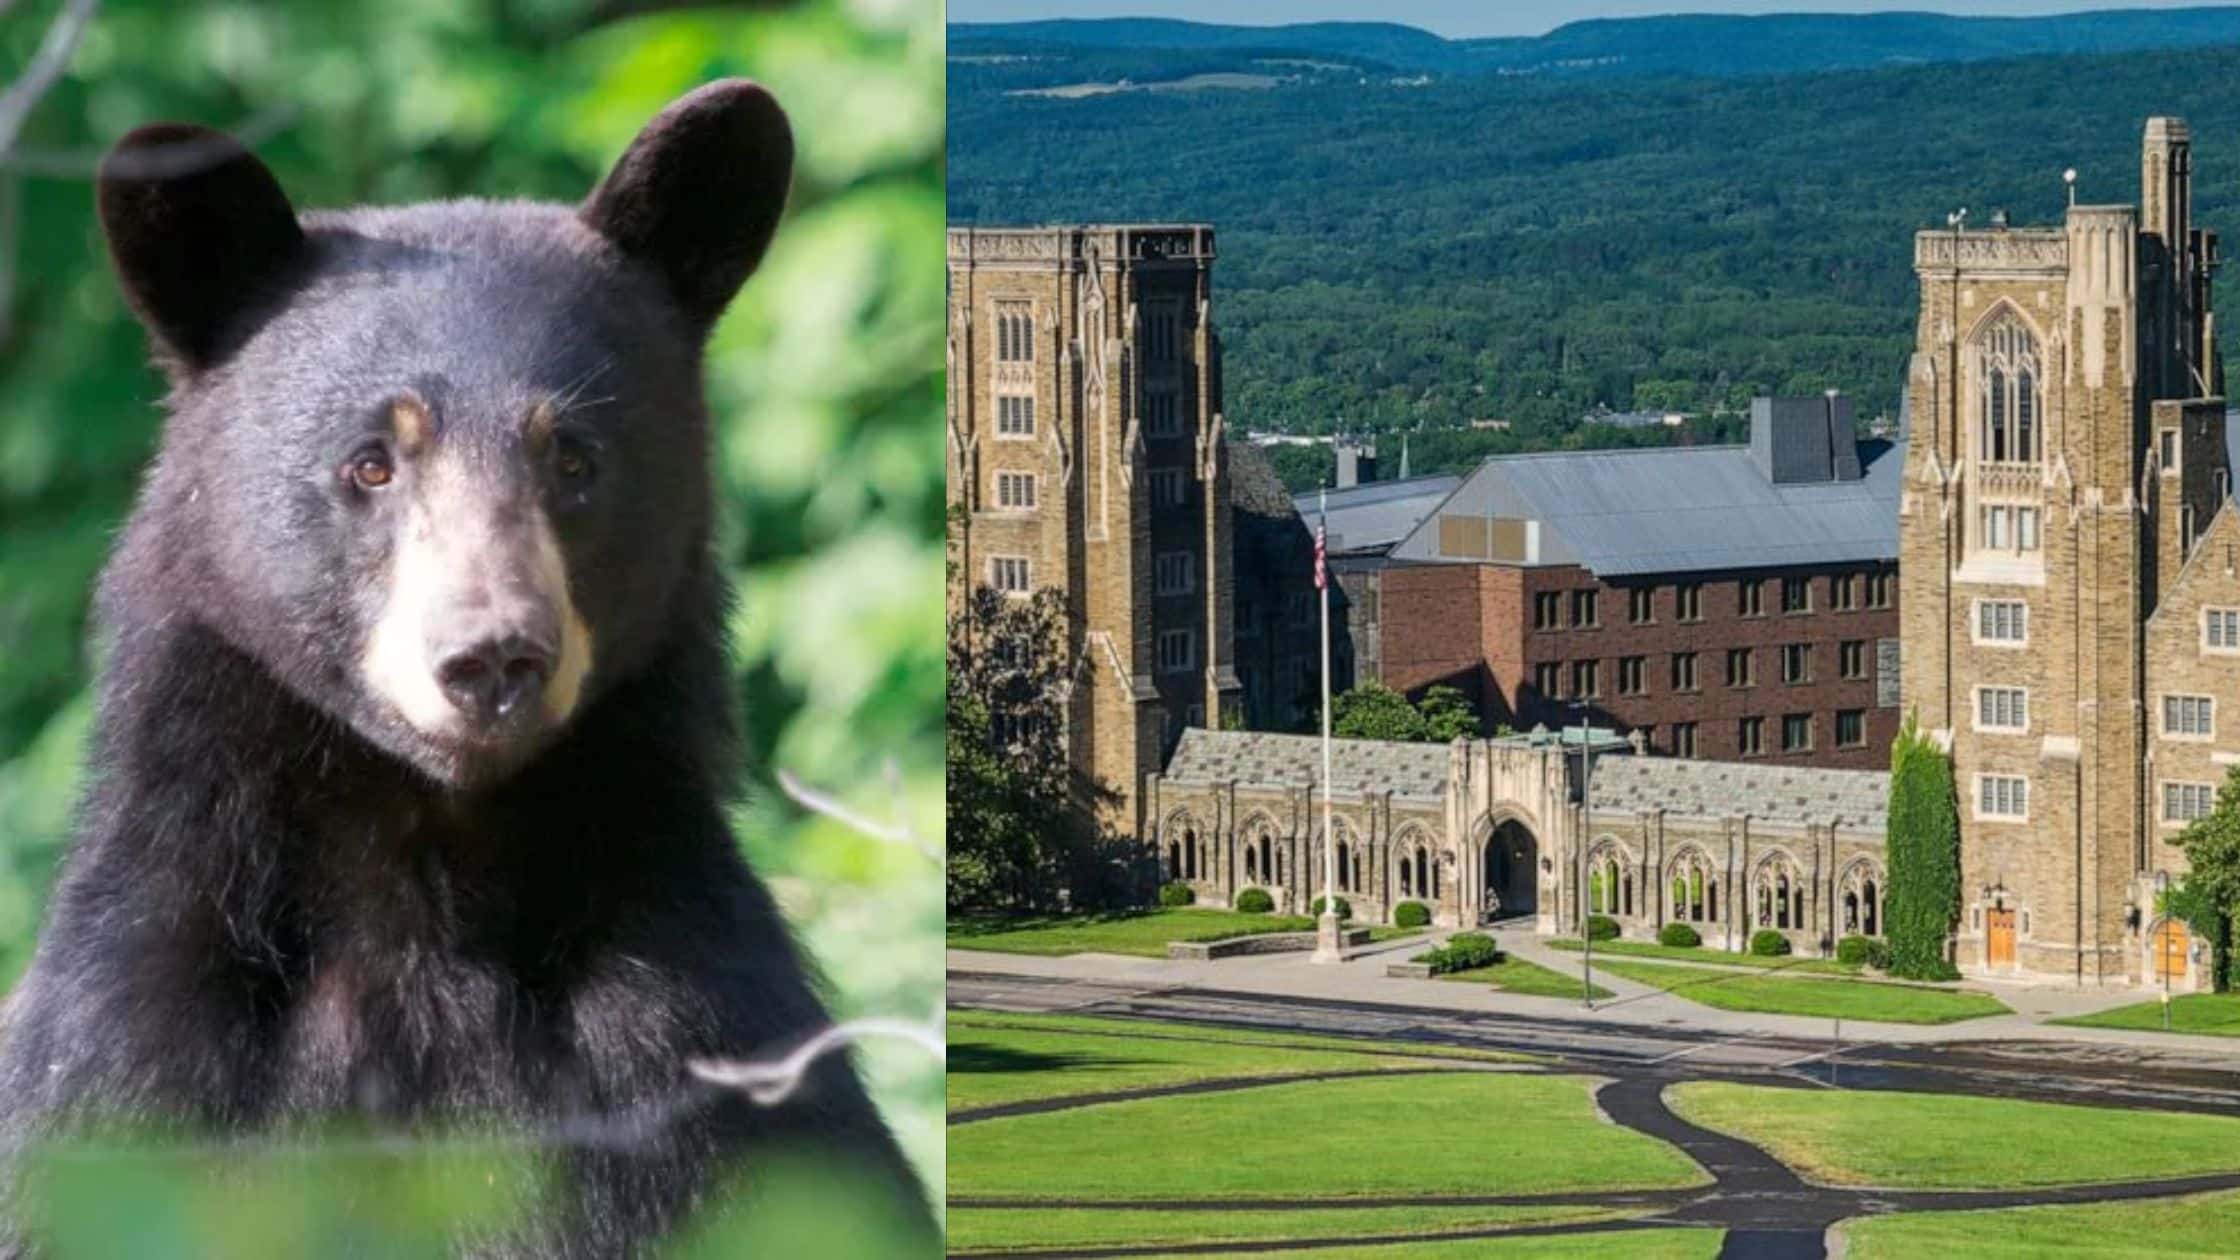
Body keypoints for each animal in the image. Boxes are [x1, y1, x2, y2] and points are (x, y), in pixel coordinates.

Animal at [0, 80, 931, 1254]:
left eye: (572, 458)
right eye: (371, 463)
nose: (491, 660)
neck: (427, 885)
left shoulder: (699, 1056)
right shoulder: (130, 1070)